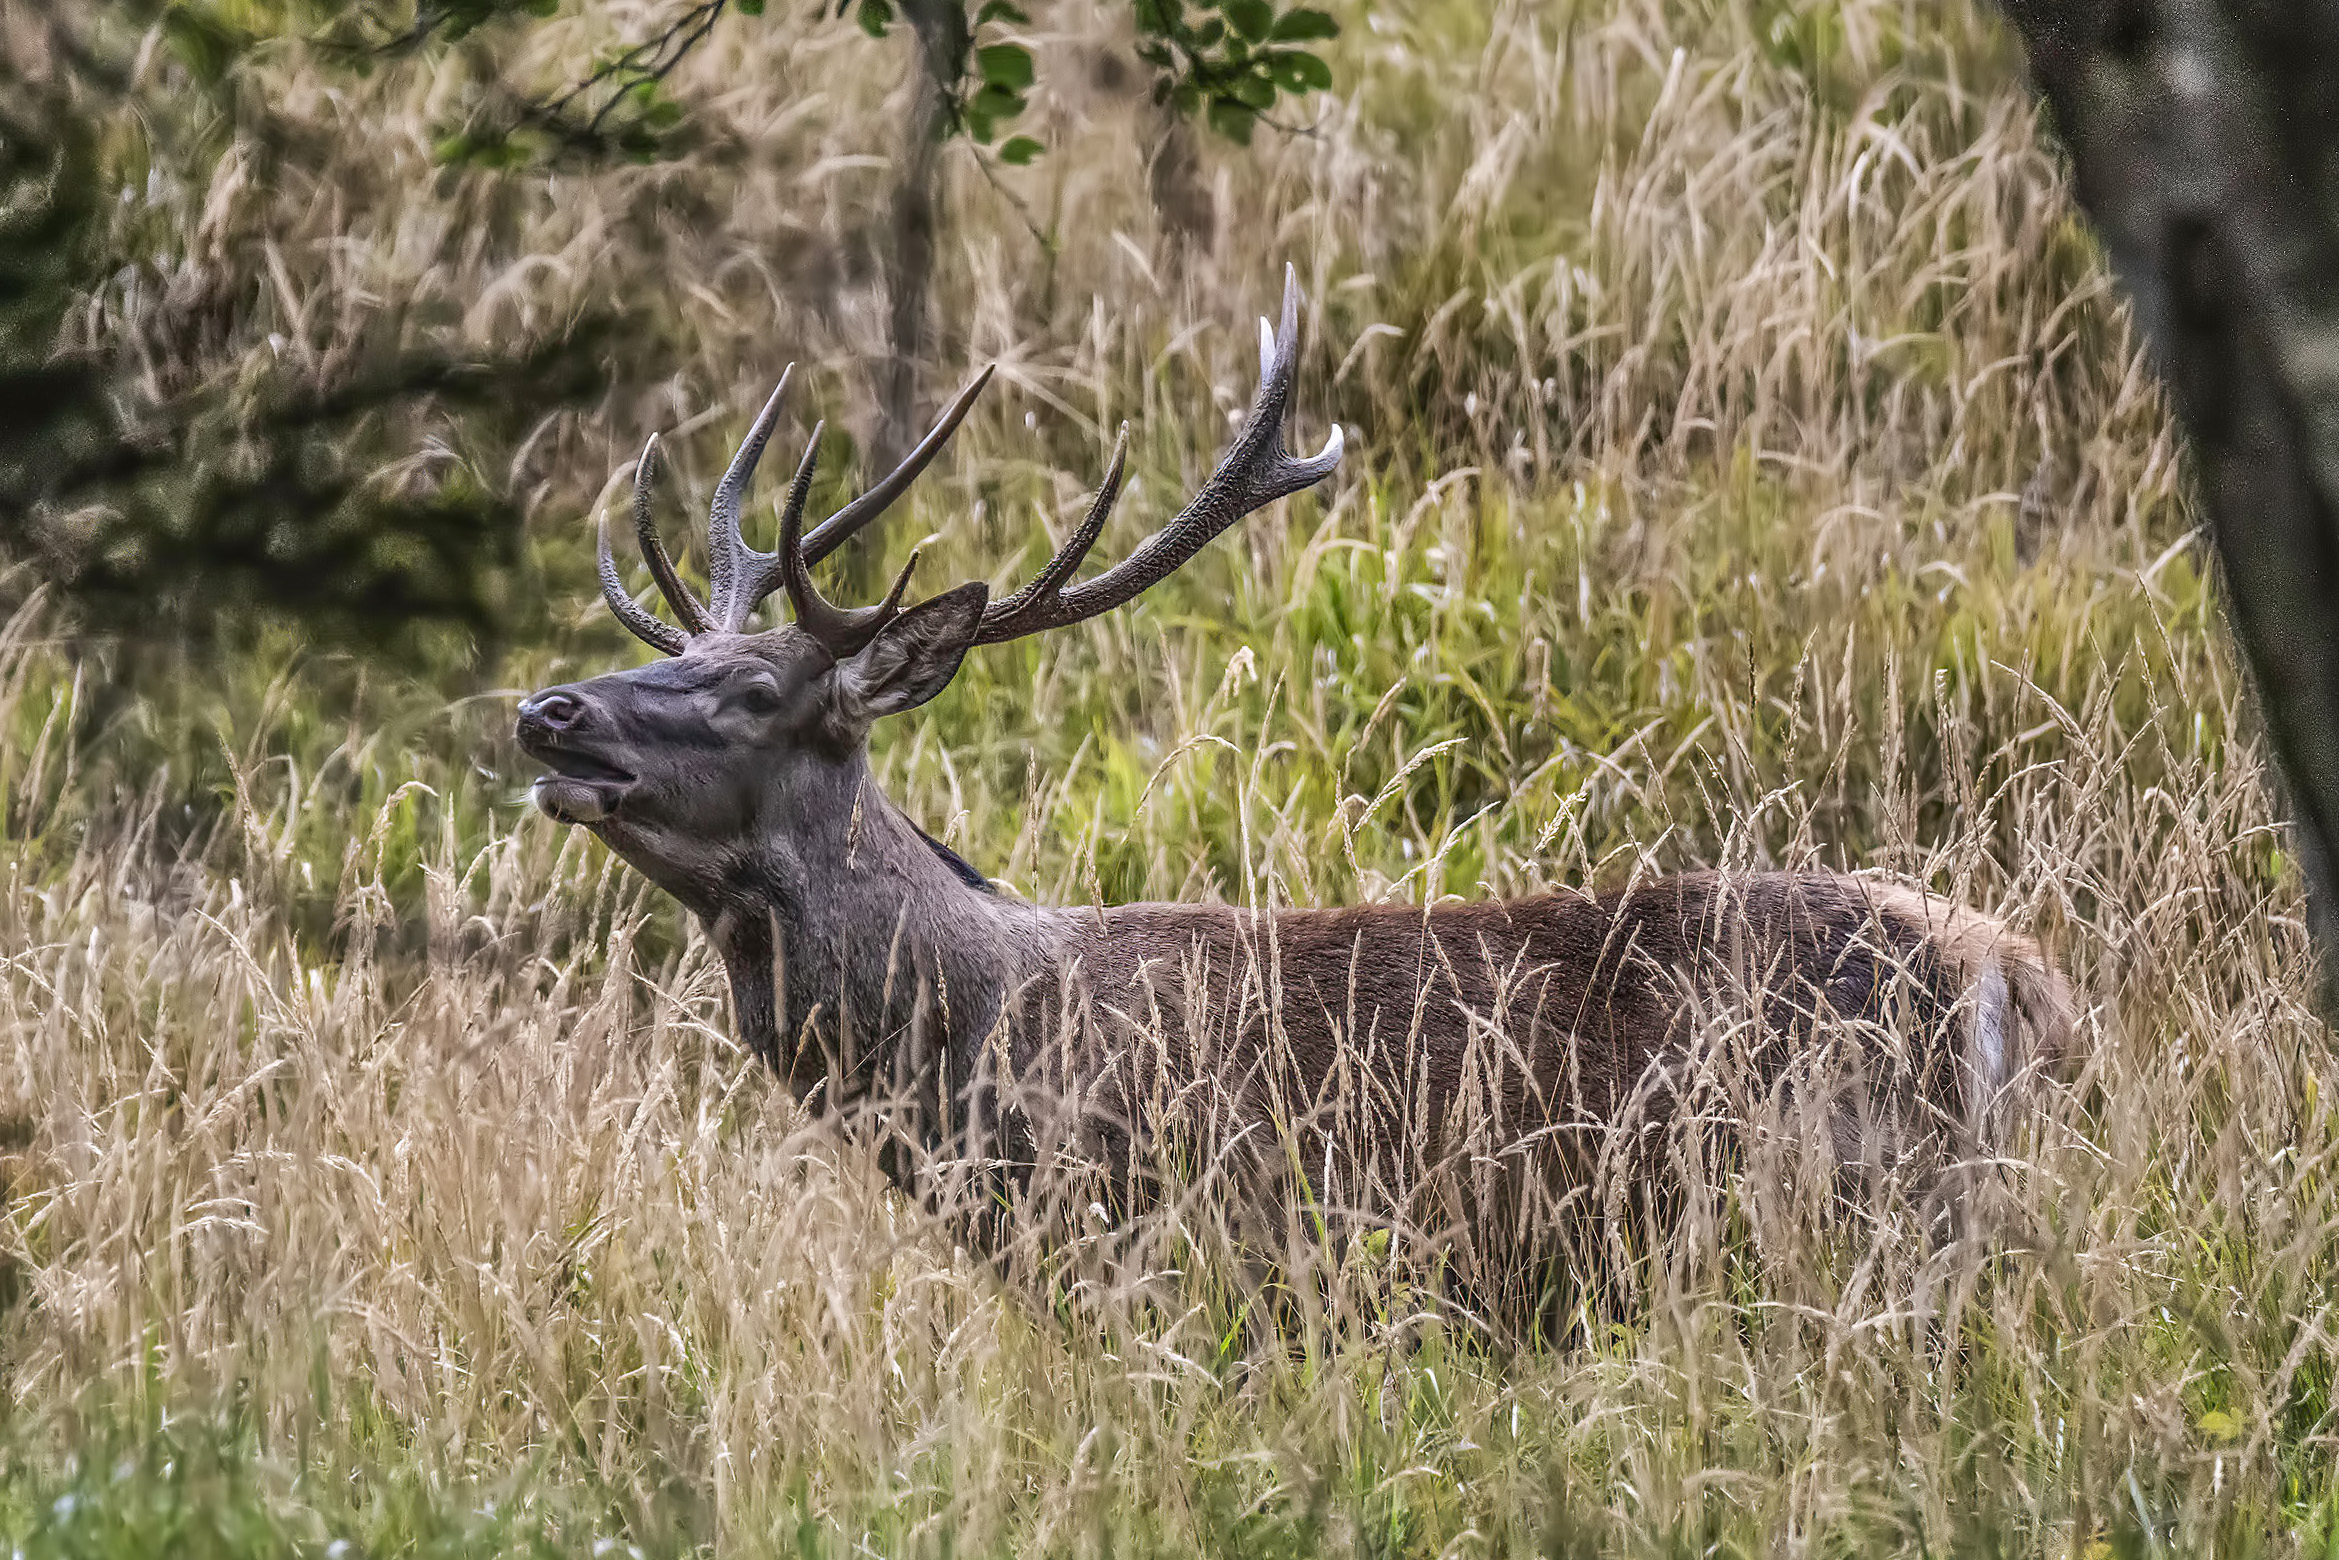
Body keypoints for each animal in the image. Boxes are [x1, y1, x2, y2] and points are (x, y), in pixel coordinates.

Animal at [515, 268, 2074, 1313]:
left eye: (750, 691)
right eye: (680, 656)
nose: (547, 711)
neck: (979, 1067)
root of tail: (2018, 975)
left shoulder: (1222, 1265)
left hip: (1857, 1212)